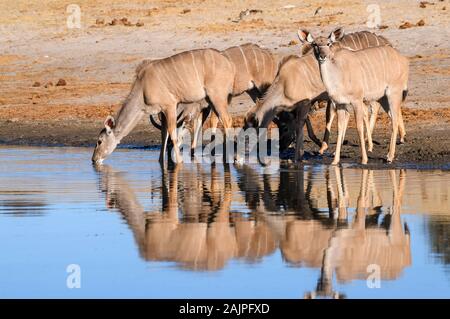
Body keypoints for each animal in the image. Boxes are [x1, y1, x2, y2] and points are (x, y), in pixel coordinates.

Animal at [89, 49, 234, 165]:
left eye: (99, 141)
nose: (94, 159)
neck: (143, 88)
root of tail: (228, 62)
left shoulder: (170, 106)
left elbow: (173, 133)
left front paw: (179, 161)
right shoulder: (162, 111)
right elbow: (164, 135)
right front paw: (161, 162)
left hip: (216, 98)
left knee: (224, 120)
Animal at [244, 30, 396, 162]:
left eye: (284, 127)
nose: (281, 147)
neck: (284, 80)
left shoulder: (306, 102)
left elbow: (302, 123)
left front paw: (301, 154)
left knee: (368, 110)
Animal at [304, 28, 410, 165]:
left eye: (328, 43)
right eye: (314, 44)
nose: (322, 56)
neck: (339, 73)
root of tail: (403, 60)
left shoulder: (357, 101)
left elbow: (359, 127)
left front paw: (364, 159)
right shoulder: (340, 104)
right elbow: (339, 128)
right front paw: (335, 161)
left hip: (393, 93)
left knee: (394, 120)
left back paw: (390, 157)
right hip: (384, 98)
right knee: (393, 117)